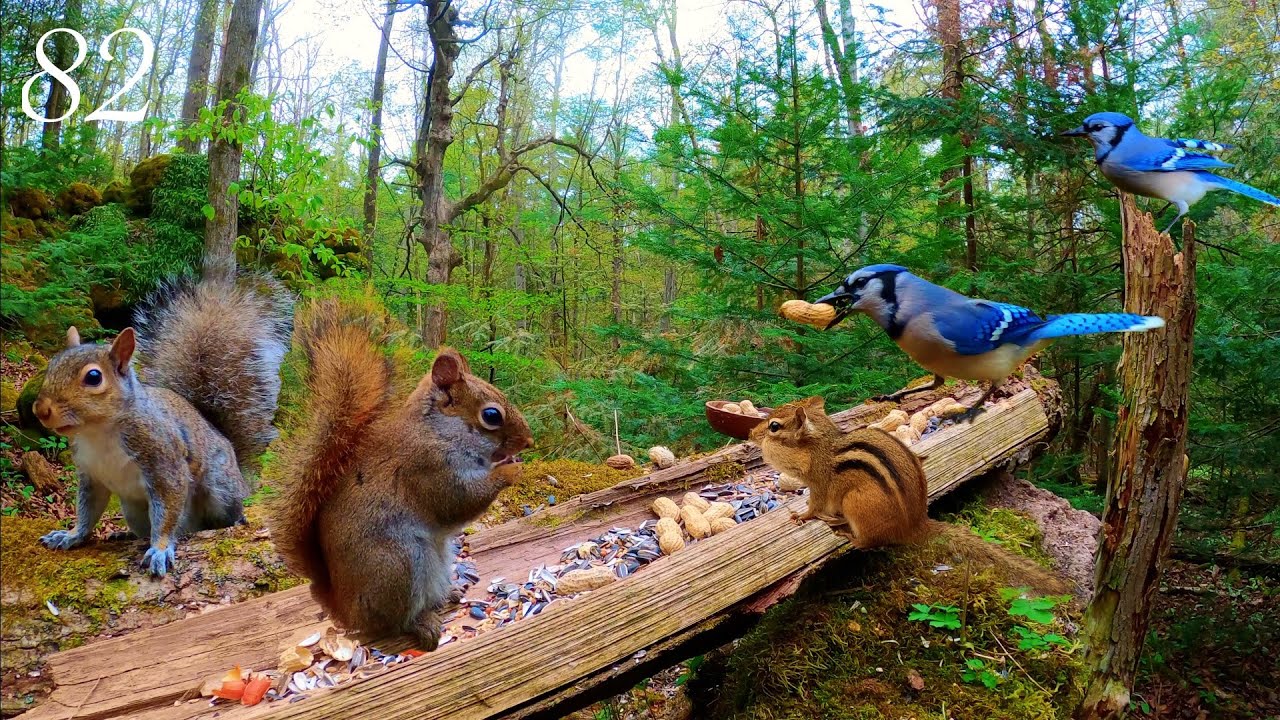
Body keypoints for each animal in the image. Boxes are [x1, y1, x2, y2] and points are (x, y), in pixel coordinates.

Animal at [33, 275, 294, 576]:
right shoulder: (91, 475)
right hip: (134, 510)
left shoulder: (163, 458)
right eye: (52, 364)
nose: (41, 410)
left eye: (94, 377)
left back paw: (232, 520)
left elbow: (167, 511)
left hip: (220, 487)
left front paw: (159, 549)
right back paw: (125, 534)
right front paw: (71, 535)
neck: (99, 432)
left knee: (219, 516)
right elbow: (88, 510)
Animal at [269, 297, 533, 650]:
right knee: (393, 623)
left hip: (435, 561)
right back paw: (422, 624)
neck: (438, 431)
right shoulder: (427, 468)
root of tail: (344, 608)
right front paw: (511, 470)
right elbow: (460, 500)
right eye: (491, 415)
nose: (529, 442)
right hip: (399, 565)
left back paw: (449, 594)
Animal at [751, 397, 1070, 593]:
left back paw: (848, 533)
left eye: (774, 427)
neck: (820, 446)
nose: (751, 435)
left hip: (856, 503)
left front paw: (800, 515)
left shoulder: (819, 482)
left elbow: (814, 505)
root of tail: (916, 525)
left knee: (869, 542)